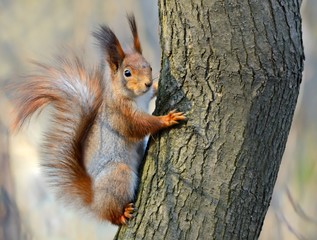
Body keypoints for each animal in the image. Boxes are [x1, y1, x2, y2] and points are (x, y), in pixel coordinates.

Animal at [12, 14, 185, 225]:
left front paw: (157, 86)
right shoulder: (121, 114)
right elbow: (140, 125)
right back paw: (121, 214)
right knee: (110, 215)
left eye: (150, 67)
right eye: (127, 73)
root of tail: (93, 200)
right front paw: (167, 119)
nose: (147, 83)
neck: (132, 96)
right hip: (118, 175)